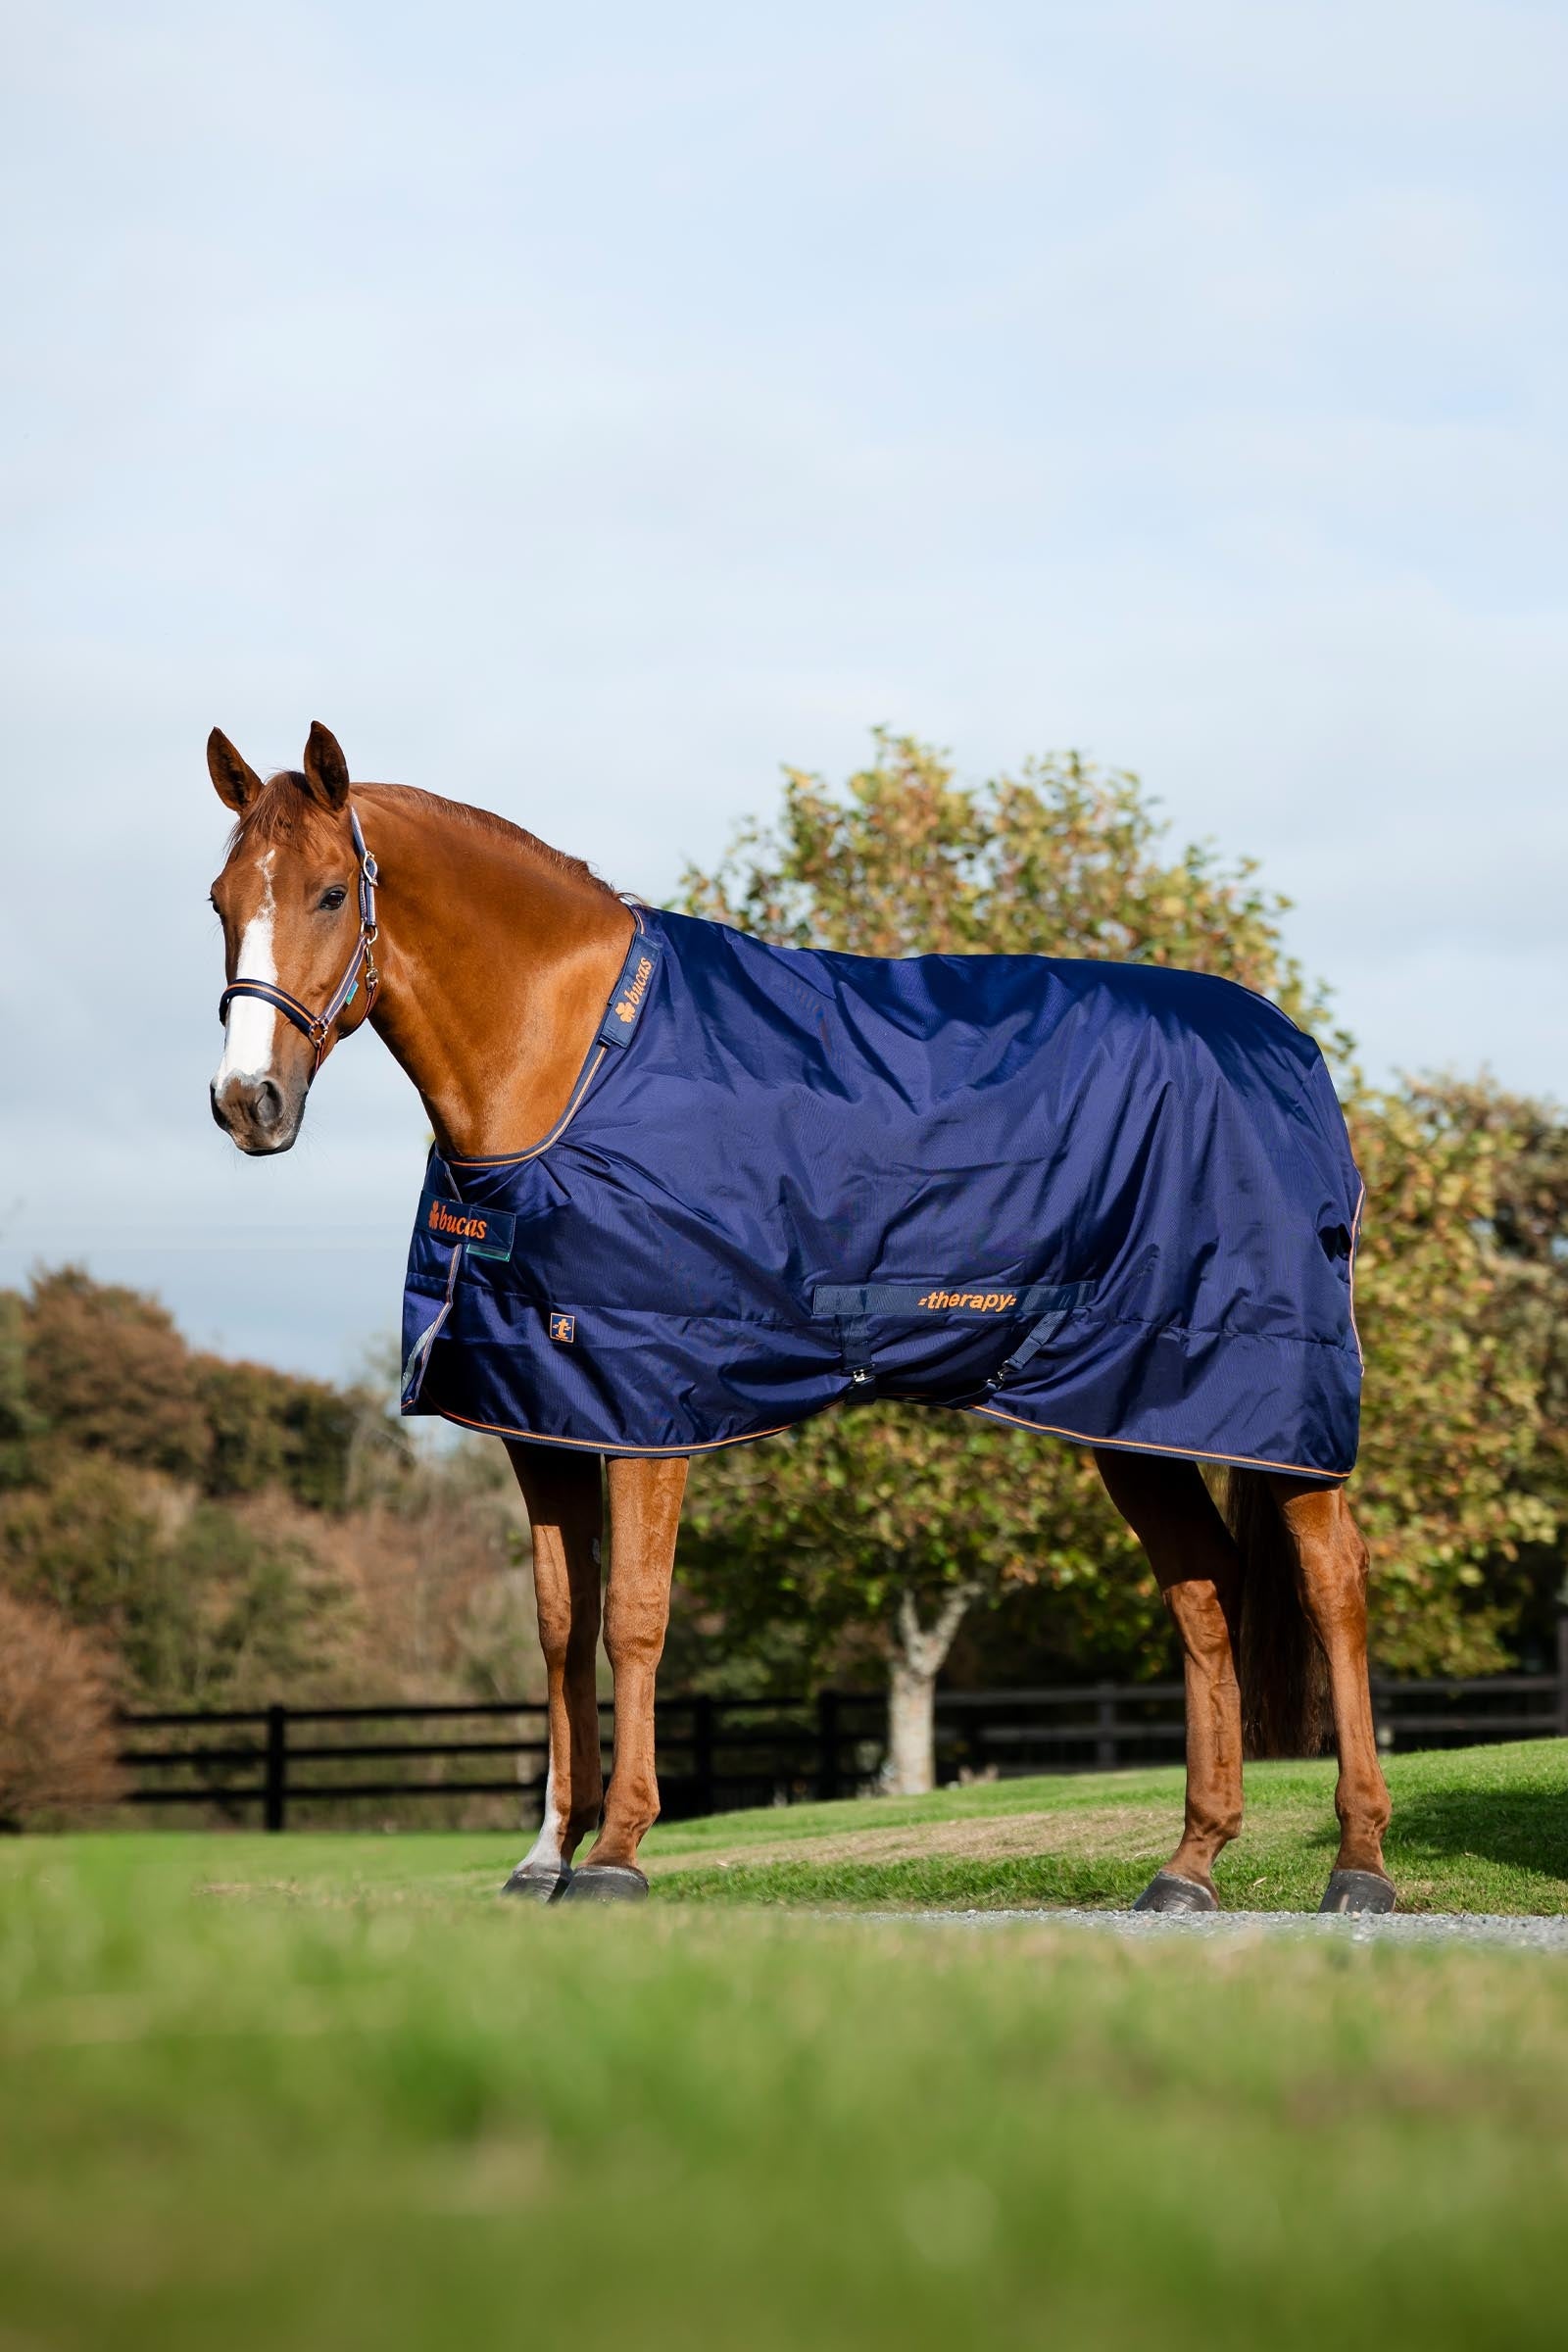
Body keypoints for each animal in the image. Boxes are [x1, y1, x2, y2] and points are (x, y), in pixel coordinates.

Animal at [207, 721, 1394, 1915]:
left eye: (327, 894)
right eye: (218, 899)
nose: (246, 1103)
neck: (571, 1064)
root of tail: (1290, 1049)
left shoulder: (649, 1409)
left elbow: (635, 1619)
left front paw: (617, 1854)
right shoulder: (540, 1414)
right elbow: (558, 1627)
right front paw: (545, 1856)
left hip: (1266, 1400)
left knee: (1332, 1585)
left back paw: (1358, 1864)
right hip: (1131, 1406)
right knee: (1204, 1594)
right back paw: (1189, 1864)